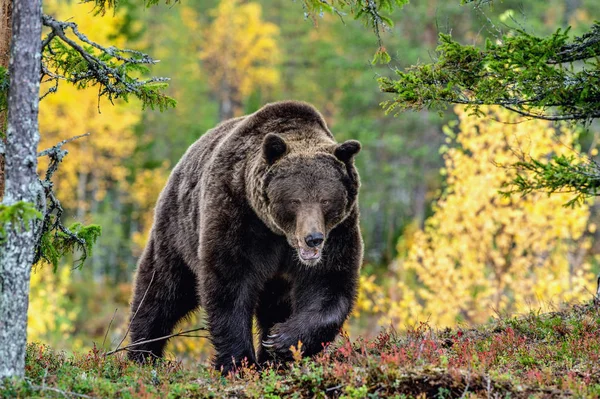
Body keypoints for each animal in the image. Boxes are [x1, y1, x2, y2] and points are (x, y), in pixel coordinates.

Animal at [127, 101, 360, 376]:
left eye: (326, 200)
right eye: (295, 200)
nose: (313, 238)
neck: (279, 235)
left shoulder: (339, 233)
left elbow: (329, 286)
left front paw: (280, 341)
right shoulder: (238, 217)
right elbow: (229, 286)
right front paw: (238, 363)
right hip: (177, 232)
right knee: (161, 290)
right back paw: (142, 354)